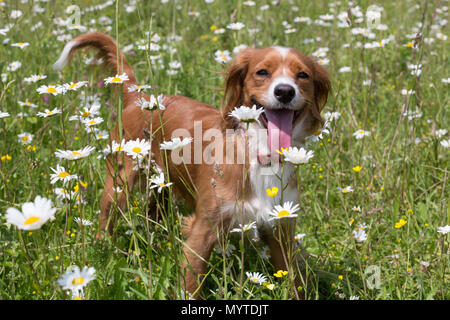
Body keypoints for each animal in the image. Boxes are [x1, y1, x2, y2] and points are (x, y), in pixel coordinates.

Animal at [53, 33, 330, 300]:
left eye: (303, 75)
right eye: (262, 72)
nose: (285, 91)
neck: (258, 153)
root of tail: (139, 98)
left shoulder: (282, 230)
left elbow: (294, 280)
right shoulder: (204, 229)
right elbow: (191, 280)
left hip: (161, 186)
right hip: (119, 186)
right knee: (106, 219)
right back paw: (102, 250)